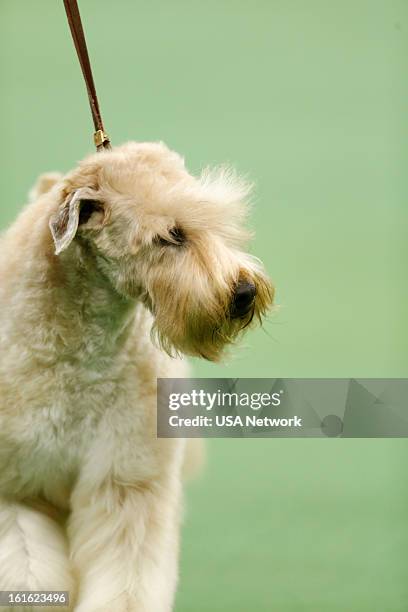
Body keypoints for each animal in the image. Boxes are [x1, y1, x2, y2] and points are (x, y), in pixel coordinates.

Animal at [0, 141, 274, 608]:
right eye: (170, 235)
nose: (243, 292)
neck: (78, 350)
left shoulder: (126, 481)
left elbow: (127, 577)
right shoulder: (18, 490)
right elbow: (26, 572)